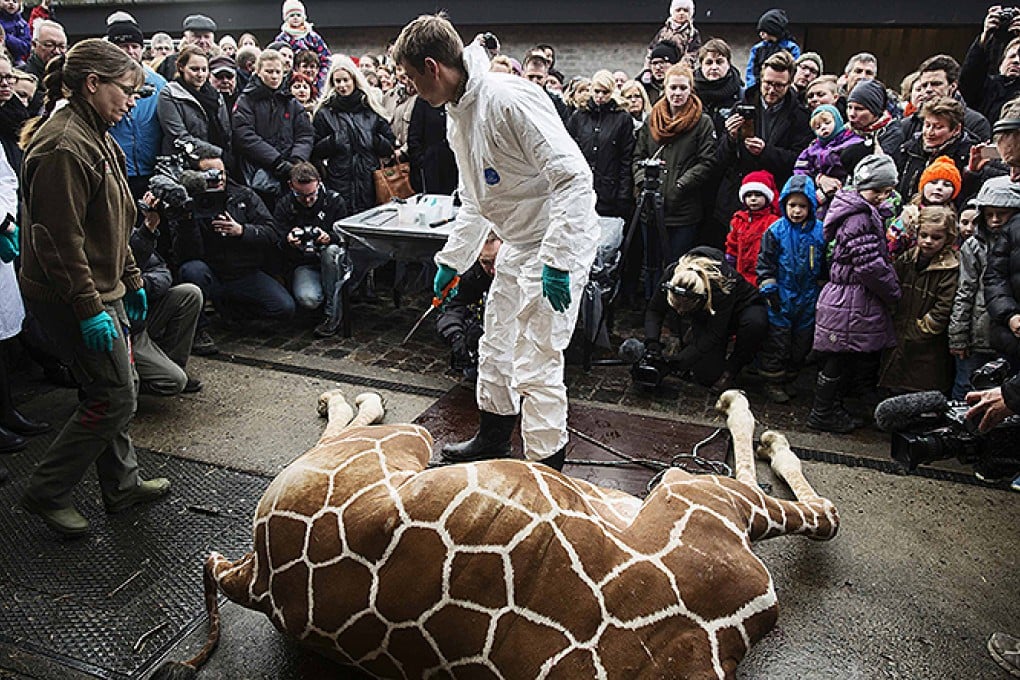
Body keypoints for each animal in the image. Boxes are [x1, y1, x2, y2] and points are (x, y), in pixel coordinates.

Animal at [153, 387, 836, 680]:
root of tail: (252, 575)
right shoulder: (699, 502)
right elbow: (818, 509)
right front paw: (751, 417)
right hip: (405, 442)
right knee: (351, 428)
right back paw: (343, 396)